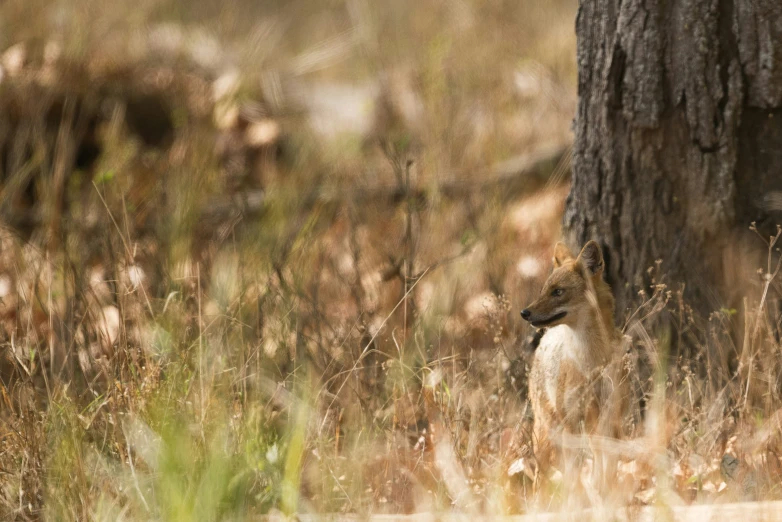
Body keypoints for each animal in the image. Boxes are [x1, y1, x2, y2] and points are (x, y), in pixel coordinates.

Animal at [520, 242, 632, 474]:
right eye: (543, 291)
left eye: (558, 292)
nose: (524, 313)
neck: (591, 360)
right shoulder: (571, 423)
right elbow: (574, 474)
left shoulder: (611, 421)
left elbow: (607, 472)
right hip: (548, 430)